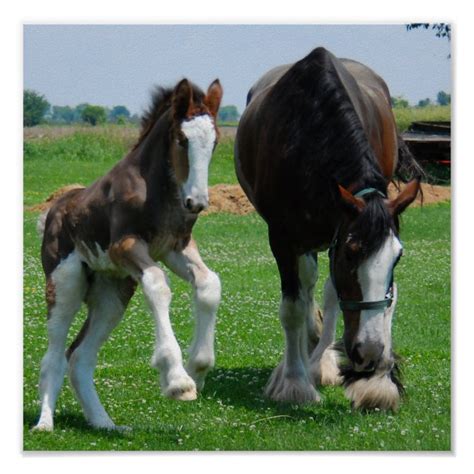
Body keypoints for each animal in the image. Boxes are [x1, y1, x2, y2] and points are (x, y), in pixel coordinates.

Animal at [34, 77, 223, 430]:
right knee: (53, 355)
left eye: (215, 141)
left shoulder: (175, 247)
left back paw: (104, 424)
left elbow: (209, 283)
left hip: (112, 295)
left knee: (79, 355)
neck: (157, 189)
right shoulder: (126, 246)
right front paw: (178, 380)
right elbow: (157, 284)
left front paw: (198, 368)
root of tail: (52, 212)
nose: (197, 202)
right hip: (65, 285)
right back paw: (44, 424)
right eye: (182, 139)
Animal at [237, 48, 422, 412]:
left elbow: (382, 296)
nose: (369, 353)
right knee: (305, 287)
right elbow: (292, 308)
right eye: (352, 253)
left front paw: (377, 382)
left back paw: (320, 360)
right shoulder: (283, 238)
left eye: (398, 257)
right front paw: (295, 382)